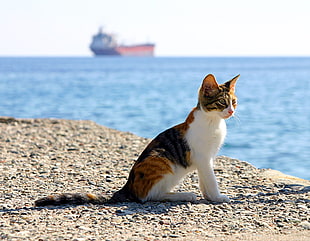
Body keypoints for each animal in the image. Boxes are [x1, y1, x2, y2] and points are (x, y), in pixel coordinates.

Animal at [36, 74, 240, 206]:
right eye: (222, 102)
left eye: (234, 102)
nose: (231, 111)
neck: (213, 121)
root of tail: (128, 187)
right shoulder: (202, 157)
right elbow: (211, 179)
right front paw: (217, 198)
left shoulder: (206, 159)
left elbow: (205, 180)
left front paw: (209, 196)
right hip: (161, 160)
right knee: (148, 196)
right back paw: (184, 195)